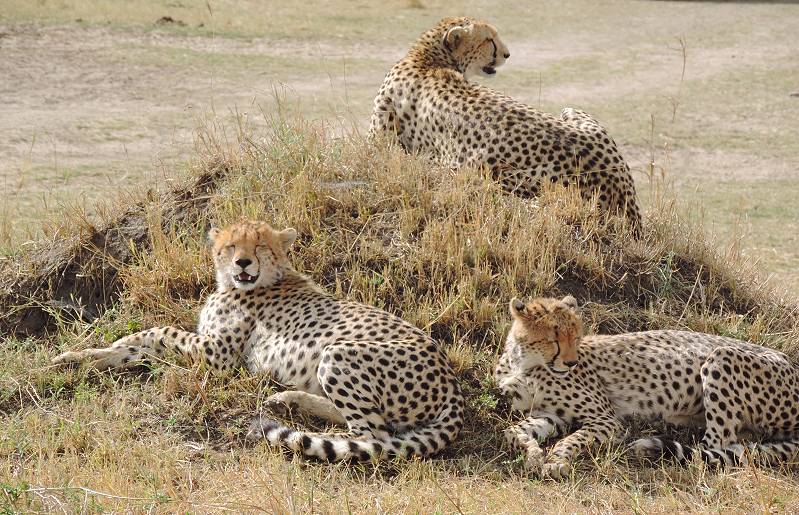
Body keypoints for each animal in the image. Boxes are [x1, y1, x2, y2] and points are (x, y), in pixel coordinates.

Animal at [53, 220, 466, 462]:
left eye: (260, 247)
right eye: (231, 247)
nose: (243, 263)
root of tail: (452, 382)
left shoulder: (217, 356)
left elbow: (159, 331)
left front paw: (109, 346)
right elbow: (135, 346)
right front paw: (78, 357)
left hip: (338, 353)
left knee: (374, 436)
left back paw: (304, 426)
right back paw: (287, 398)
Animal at [494, 296, 799, 482]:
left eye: (576, 337)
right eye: (553, 339)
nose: (570, 363)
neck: (525, 364)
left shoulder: (607, 420)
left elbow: (572, 439)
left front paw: (556, 460)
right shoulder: (550, 415)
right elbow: (511, 432)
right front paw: (533, 452)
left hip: (722, 356)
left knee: (714, 448)